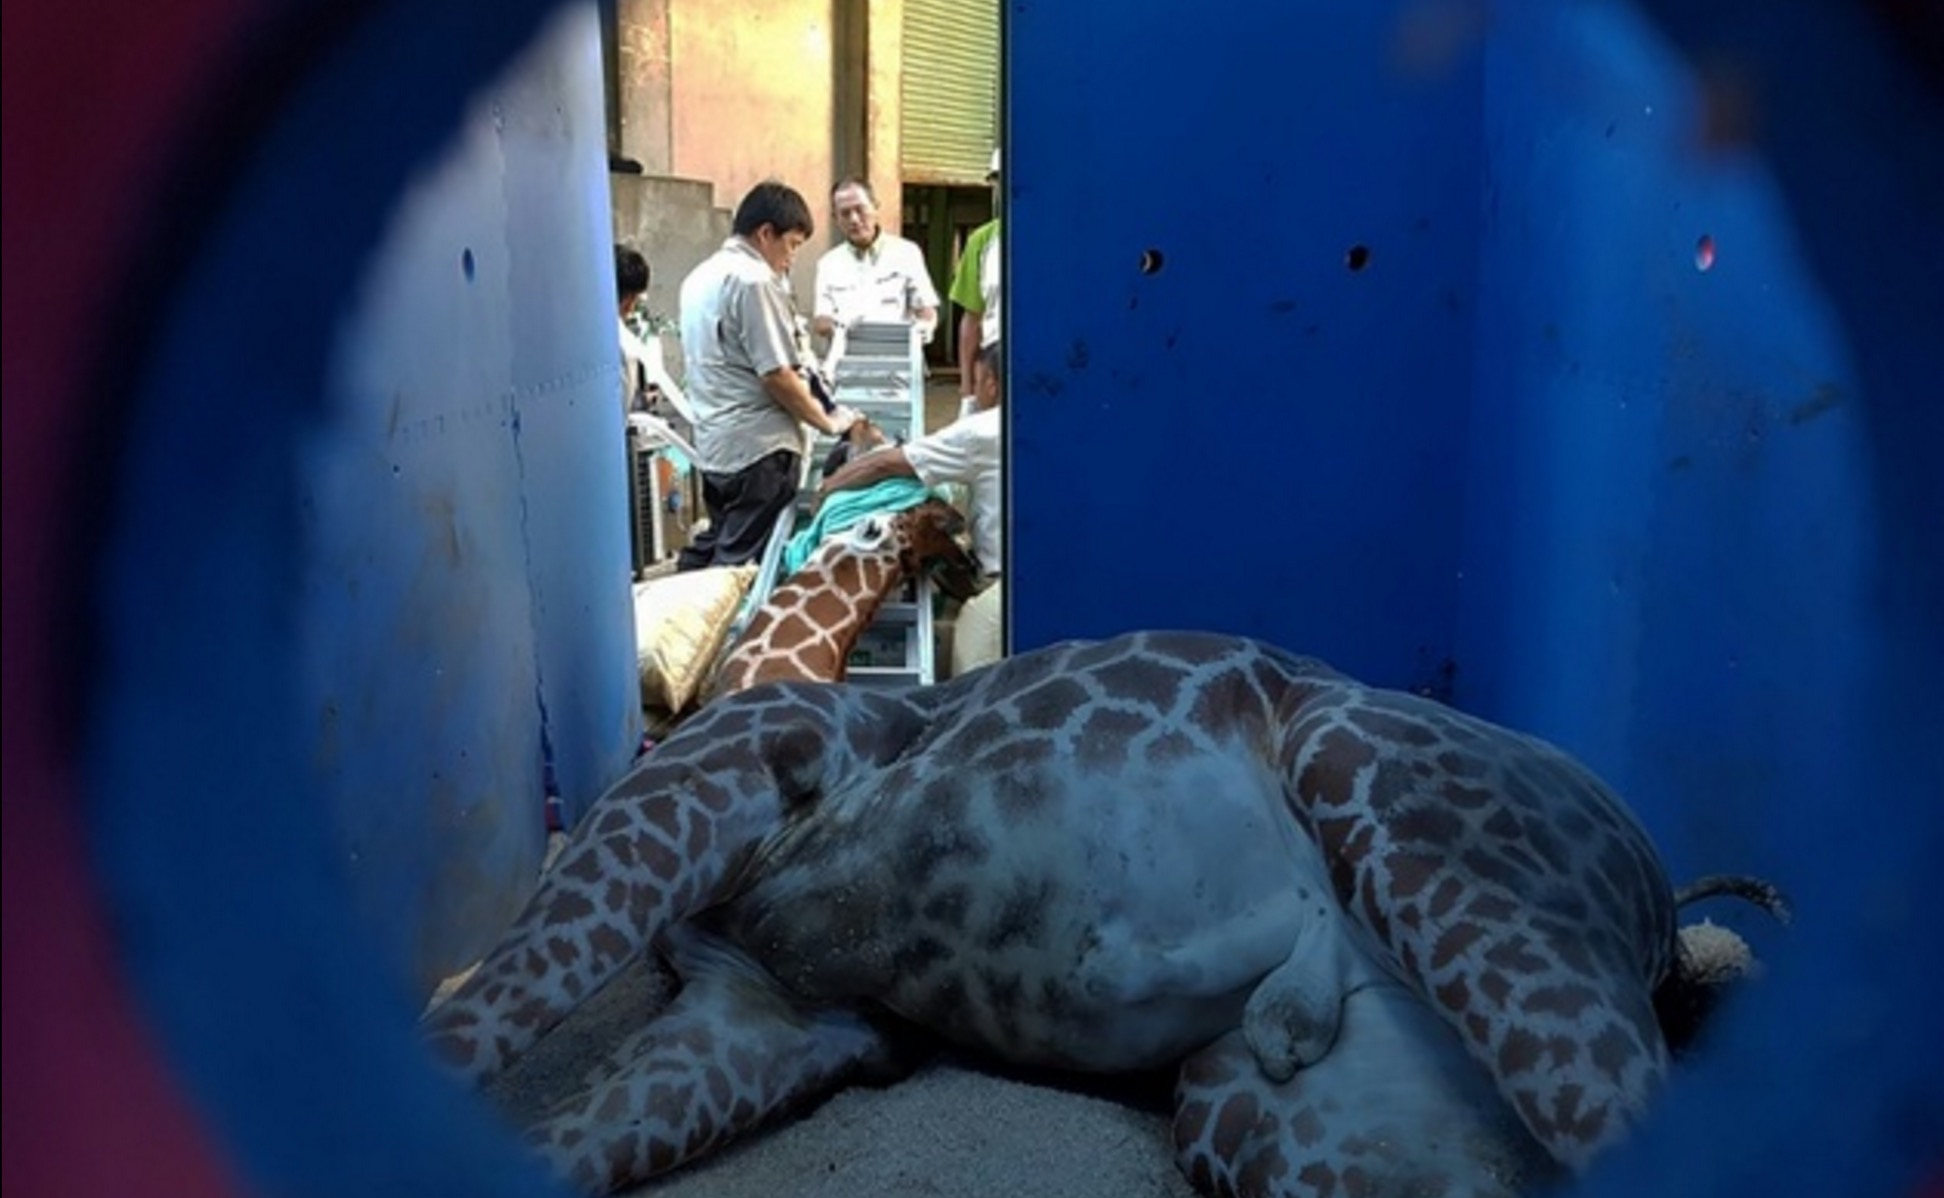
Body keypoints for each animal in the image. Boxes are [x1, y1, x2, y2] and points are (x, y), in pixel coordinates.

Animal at [422, 630, 1776, 1197]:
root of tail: (1666, 913)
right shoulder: (761, 1007)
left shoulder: (719, 780)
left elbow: (481, 1014)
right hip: (1272, 1108)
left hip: (1389, 798)